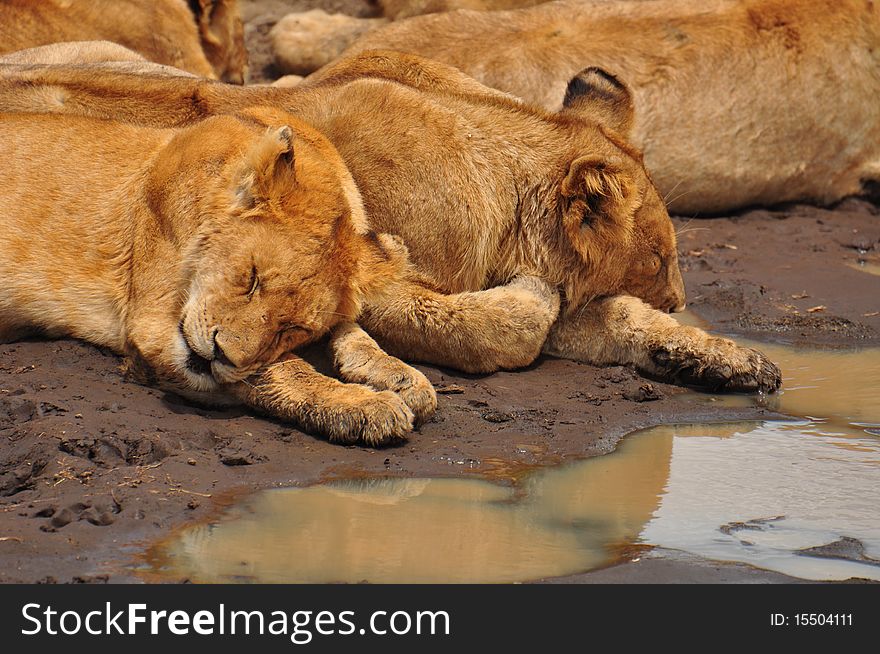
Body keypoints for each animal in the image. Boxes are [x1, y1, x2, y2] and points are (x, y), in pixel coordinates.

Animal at [0, 48, 784, 394]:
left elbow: (613, 319)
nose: (680, 298)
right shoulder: (375, 276)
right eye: (660, 259)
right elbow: (501, 327)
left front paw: (722, 357)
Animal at [0, 106, 438, 446]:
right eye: (252, 277)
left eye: (292, 328)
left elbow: (354, 334)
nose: (220, 354)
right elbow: (282, 370)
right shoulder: (152, 325)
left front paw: (399, 376)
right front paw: (365, 404)